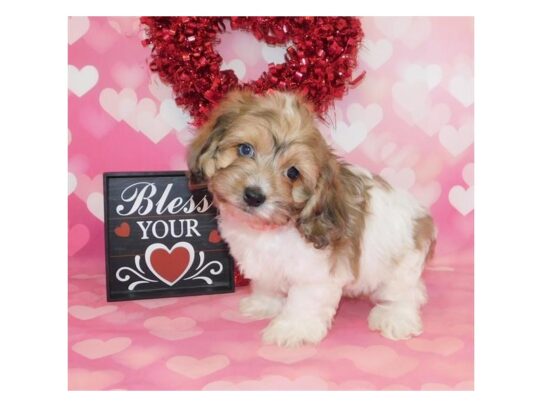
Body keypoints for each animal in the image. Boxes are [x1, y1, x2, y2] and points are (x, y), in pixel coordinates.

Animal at [190, 90, 438, 348]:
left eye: (292, 173)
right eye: (245, 149)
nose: (254, 196)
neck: (275, 226)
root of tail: (424, 217)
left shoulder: (315, 274)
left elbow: (304, 302)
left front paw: (291, 329)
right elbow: (267, 283)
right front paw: (263, 304)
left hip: (400, 267)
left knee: (406, 294)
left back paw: (396, 318)